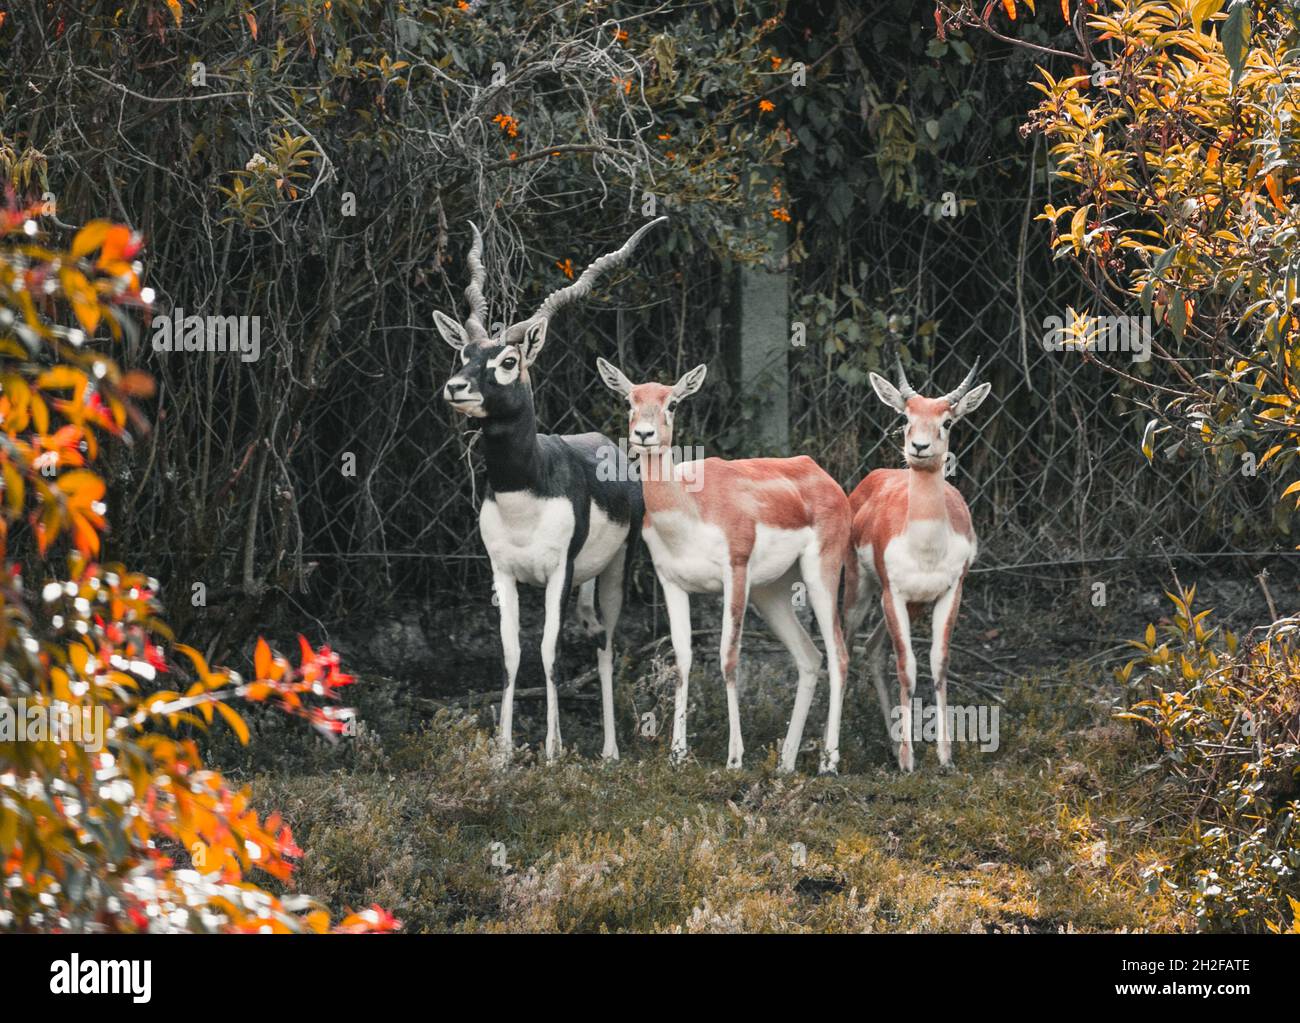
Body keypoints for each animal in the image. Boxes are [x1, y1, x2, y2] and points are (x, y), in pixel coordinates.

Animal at [439, 215, 665, 764]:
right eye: (463, 352)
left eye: (508, 361)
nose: (456, 387)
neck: (526, 490)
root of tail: (606, 443)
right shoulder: (503, 573)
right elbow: (511, 653)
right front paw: (503, 753)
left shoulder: (557, 574)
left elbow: (548, 651)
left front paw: (553, 749)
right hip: (584, 581)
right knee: (592, 633)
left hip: (614, 571)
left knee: (606, 643)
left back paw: (610, 750)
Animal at [847, 358, 987, 769]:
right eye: (906, 416)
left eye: (948, 421)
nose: (919, 447)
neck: (925, 547)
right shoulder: (893, 594)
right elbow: (907, 668)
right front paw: (909, 762)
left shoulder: (949, 594)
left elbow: (938, 663)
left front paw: (944, 756)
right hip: (862, 593)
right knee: (845, 647)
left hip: (913, 606)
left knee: (873, 649)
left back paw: (892, 740)